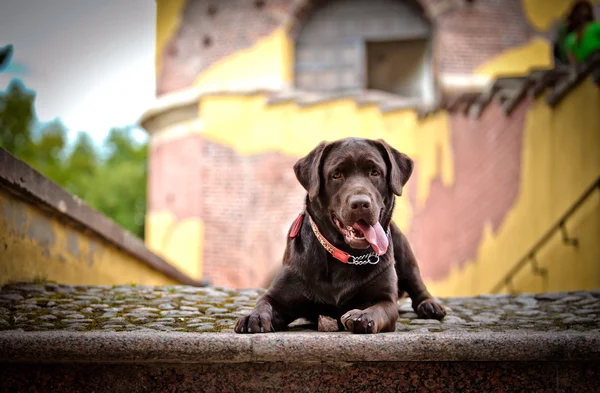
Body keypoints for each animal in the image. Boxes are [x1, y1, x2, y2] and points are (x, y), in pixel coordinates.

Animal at [234, 138, 446, 334]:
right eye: (336, 174)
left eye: (375, 172)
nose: (360, 203)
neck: (347, 255)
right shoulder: (279, 295)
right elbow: (264, 302)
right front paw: (253, 317)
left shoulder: (386, 300)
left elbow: (379, 308)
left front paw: (362, 316)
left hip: (404, 251)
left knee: (416, 282)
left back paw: (430, 305)